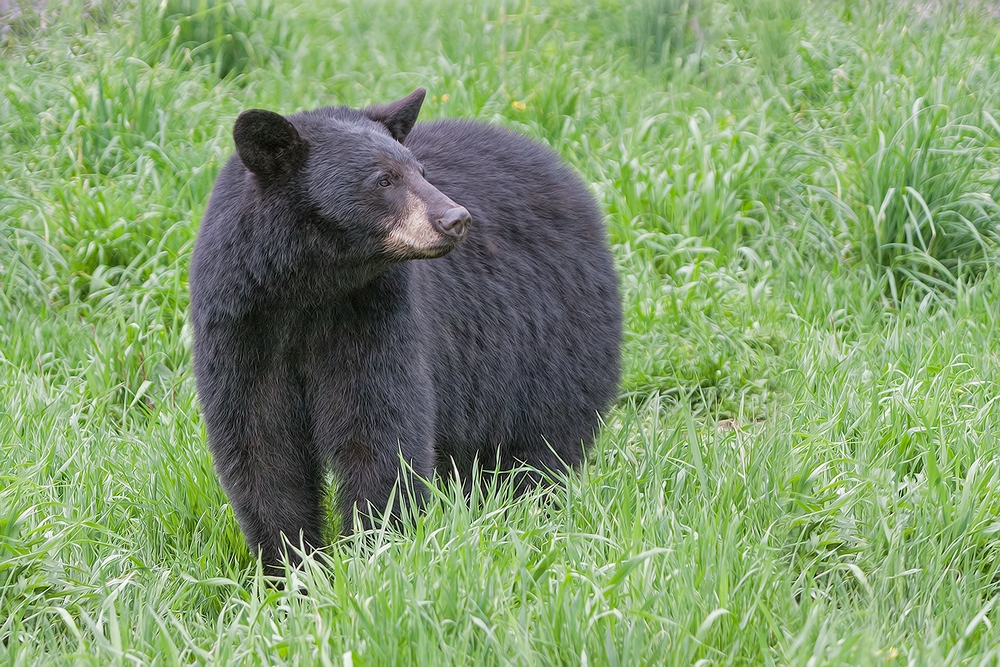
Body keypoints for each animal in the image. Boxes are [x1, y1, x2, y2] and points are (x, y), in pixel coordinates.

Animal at [189, 87, 616, 568]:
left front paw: (375, 553)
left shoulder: (375, 315)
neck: (309, 291)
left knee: (547, 436)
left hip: (552, 331)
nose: (456, 218)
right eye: (383, 180)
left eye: (421, 171)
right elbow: (260, 445)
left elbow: (380, 429)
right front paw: (293, 566)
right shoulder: (242, 327)